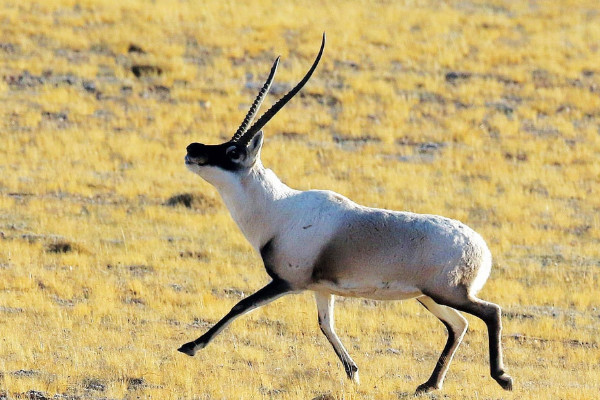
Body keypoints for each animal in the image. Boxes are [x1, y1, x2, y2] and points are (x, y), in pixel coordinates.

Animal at [178, 32, 510, 394]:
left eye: (233, 152)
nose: (192, 149)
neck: (277, 208)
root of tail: (481, 248)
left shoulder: (287, 282)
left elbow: (241, 305)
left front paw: (191, 346)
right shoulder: (322, 289)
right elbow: (325, 325)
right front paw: (353, 373)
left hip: (447, 292)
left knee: (490, 312)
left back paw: (501, 377)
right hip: (429, 296)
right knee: (458, 325)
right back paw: (428, 384)